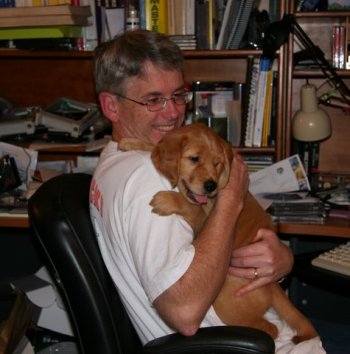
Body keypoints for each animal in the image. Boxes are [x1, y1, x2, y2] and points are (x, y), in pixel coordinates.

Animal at [119, 124, 318, 342]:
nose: (211, 185)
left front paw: (168, 200)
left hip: (224, 297)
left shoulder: (203, 221)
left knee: (270, 329)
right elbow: (154, 147)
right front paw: (132, 142)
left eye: (217, 163)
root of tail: (272, 285)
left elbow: (192, 207)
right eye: (194, 158)